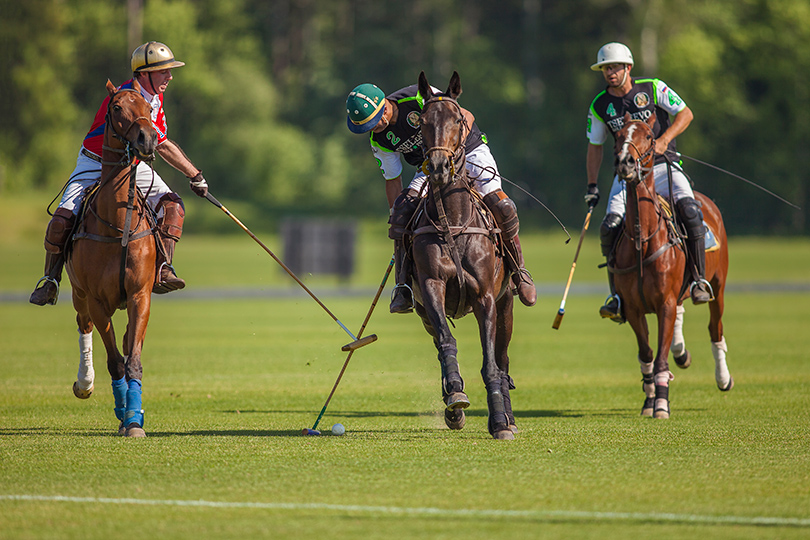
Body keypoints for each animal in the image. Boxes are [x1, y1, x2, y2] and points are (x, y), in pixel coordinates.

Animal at [64, 78, 158, 436]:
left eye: (149, 109)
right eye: (116, 107)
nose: (147, 139)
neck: (119, 226)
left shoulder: (140, 295)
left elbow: (133, 360)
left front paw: (134, 420)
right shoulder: (96, 299)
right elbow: (116, 361)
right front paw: (124, 413)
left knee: (132, 342)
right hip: (78, 294)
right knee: (84, 324)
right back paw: (84, 383)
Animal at [408, 71, 516, 440]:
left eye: (457, 120)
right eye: (423, 122)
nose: (439, 166)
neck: (453, 221)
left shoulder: (486, 297)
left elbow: (490, 364)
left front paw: (499, 422)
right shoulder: (431, 287)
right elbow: (447, 340)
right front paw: (455, 393)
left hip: (507, 304)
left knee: (503, 360)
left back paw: (509, 416)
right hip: (421, 311)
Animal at [608, 113, 728, 418]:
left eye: (650, 137)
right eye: (618, 135)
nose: (626, 163)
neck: (643, 239)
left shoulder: (664, 304)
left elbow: (661, 357)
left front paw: (661, 404)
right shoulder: (634, 308)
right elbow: (647, 355)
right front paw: (649, 400)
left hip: (718, 285)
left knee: (715, 328)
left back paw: (723, 379)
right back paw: (681, 352)